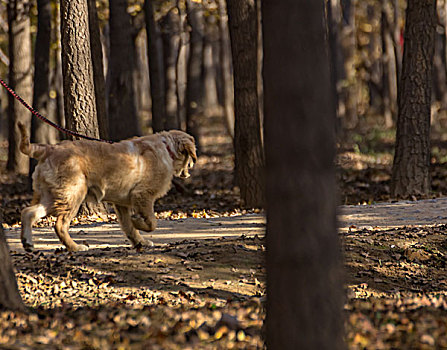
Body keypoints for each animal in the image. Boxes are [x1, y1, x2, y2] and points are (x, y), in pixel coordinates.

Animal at [17, 123, 196, 252]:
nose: (189, 171)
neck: (167, 150)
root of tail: (49, 149)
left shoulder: (121, 204)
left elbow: (129, 227)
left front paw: (140, 241)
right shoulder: (143, 195)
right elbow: (151, 222)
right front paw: (138, 222)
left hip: (52, 195)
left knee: (28, 212)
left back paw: (28, 243)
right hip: (74, 193)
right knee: (60, 225)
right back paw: (76, 247)